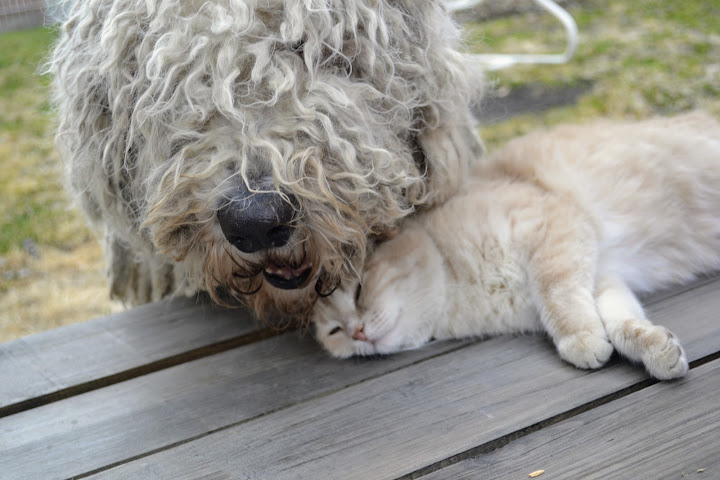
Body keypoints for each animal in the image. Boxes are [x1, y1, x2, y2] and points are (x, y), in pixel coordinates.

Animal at [310, 111, 720, 378]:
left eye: (360, 291)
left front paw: (580, 339)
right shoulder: (601, 275)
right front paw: (657, 350)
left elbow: (556, 295)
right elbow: (621, 320)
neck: (464, 294)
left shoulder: (555, 228)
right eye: (335, 332)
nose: (357, 333)